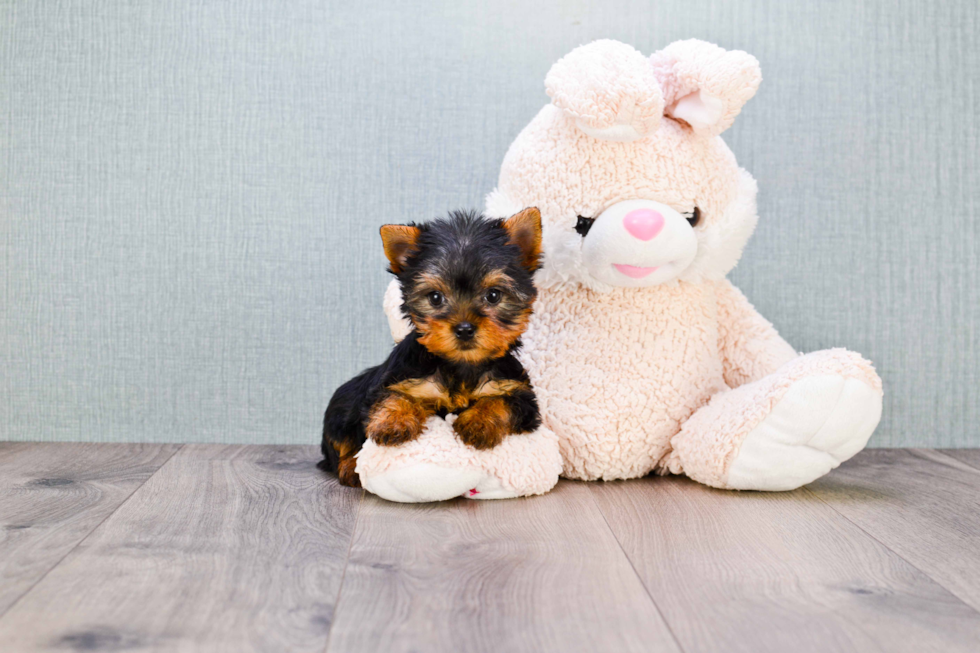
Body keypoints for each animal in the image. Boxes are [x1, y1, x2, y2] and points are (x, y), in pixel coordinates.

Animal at [320, 206, 544, 486]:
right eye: (435, 297)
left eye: (493, 295)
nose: (464, 328)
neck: (460, 366)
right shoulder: (399, 378)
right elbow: (393, 395)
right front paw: (393, 422)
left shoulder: (520, 394)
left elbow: (501, 401)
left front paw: (480, 423)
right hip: (340, 410)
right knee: (339, 444)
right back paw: (351, 466)